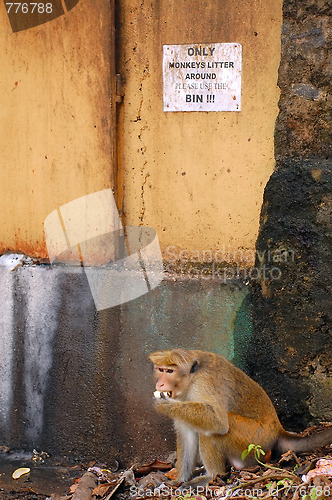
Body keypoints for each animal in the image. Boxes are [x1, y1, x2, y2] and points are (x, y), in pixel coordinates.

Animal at [149, 350, 332, 486]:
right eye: (160, 369)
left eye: (170, 371)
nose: (160, 384)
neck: (192, 378)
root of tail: (278, 431)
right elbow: (187, 434)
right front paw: (179, 479)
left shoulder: (204, 383)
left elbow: (218, 422)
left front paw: (164, 405)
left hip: (255, 439)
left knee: (213, 432)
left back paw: (212, 475)